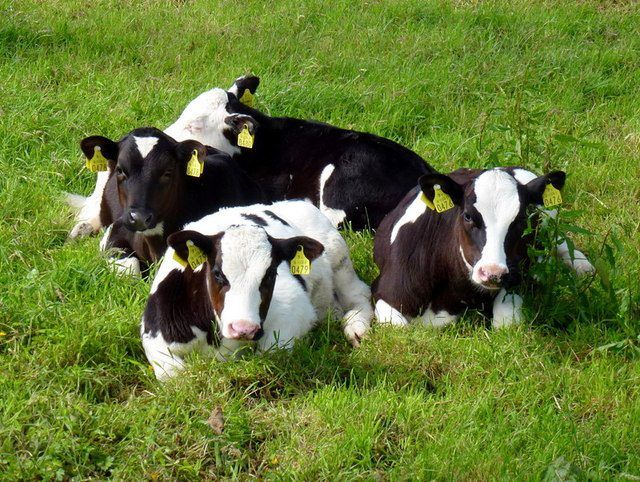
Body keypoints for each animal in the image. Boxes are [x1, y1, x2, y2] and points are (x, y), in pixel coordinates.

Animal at [141, 200, 373, 380]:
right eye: (217, 273)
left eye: (270, 274)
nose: (243, 328)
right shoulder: (153, 334)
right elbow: (176, 375)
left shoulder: (293, 307)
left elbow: (269, 353)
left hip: (338, 254)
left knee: (359, 294)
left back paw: (356, 327)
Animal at [372, 167, 595, 328]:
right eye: (468, 216)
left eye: (521, 220)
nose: (492, 273)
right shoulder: (385, 293)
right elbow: (400, 328)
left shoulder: (514, 280)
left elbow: (506, 324)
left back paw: (583, 266)